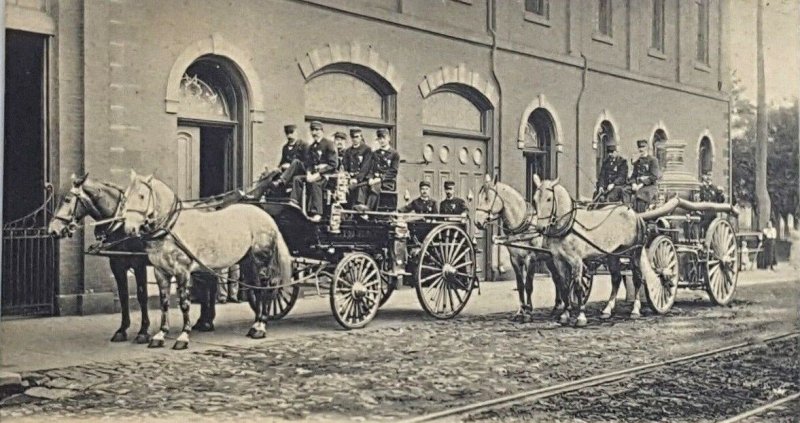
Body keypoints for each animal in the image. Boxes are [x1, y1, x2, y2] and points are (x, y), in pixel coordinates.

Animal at [47, 175, 152, 344]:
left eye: (68, 200)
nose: (53, 230)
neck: (120, 223)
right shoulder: (117, 264)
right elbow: (123, 296)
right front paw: (122, 330)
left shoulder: (139, 264)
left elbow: (142, 296)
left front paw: (143, 331)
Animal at [120, 171, 292, 350]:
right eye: (125, 197)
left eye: (141, 196)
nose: (129, 229)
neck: (171, 228)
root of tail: (266, 216)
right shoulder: (160, 272)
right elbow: (164, 303)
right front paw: (160, 335)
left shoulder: (182, 270)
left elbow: (184, 303)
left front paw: (183, 336)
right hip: (248, 262)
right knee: (257, 289)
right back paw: (255, 325)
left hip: (261, 259)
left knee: (266, 289)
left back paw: (261, 326)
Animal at [476, 177, 568, 322]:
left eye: (486, 198)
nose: (477, 222)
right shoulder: (514, 259)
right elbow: (520, 285)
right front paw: (521, 311)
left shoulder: (531, 258)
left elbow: (528, 285)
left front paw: (528, 312)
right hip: (550, 259)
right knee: (557, 278)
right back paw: (557, 307)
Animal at [528, 176, 660, 328]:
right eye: (534, 199)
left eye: (549, 199)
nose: (540, 228)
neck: (568, 224)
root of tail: (635, 214)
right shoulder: (558, 260)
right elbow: (564, 286)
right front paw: (565, 315)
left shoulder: (576, 261)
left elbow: (578, 287)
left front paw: (581, 317)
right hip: (613, 254)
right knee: (616, 278)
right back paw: (607, 310)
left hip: (634, 252)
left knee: (637, 278)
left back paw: (635, 310)